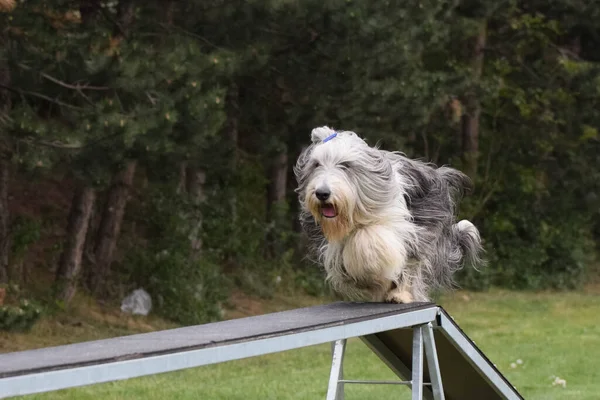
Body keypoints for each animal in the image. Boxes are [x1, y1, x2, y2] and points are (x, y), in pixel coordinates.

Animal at [292, 126, 486, 302]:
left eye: (345, 165)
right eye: (316, 164)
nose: (322, 193)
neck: (353, 215)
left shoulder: (402, 229)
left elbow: (369, 239)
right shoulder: (331, 245)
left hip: (427, 232)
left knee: (413, 265)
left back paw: (400, 295)